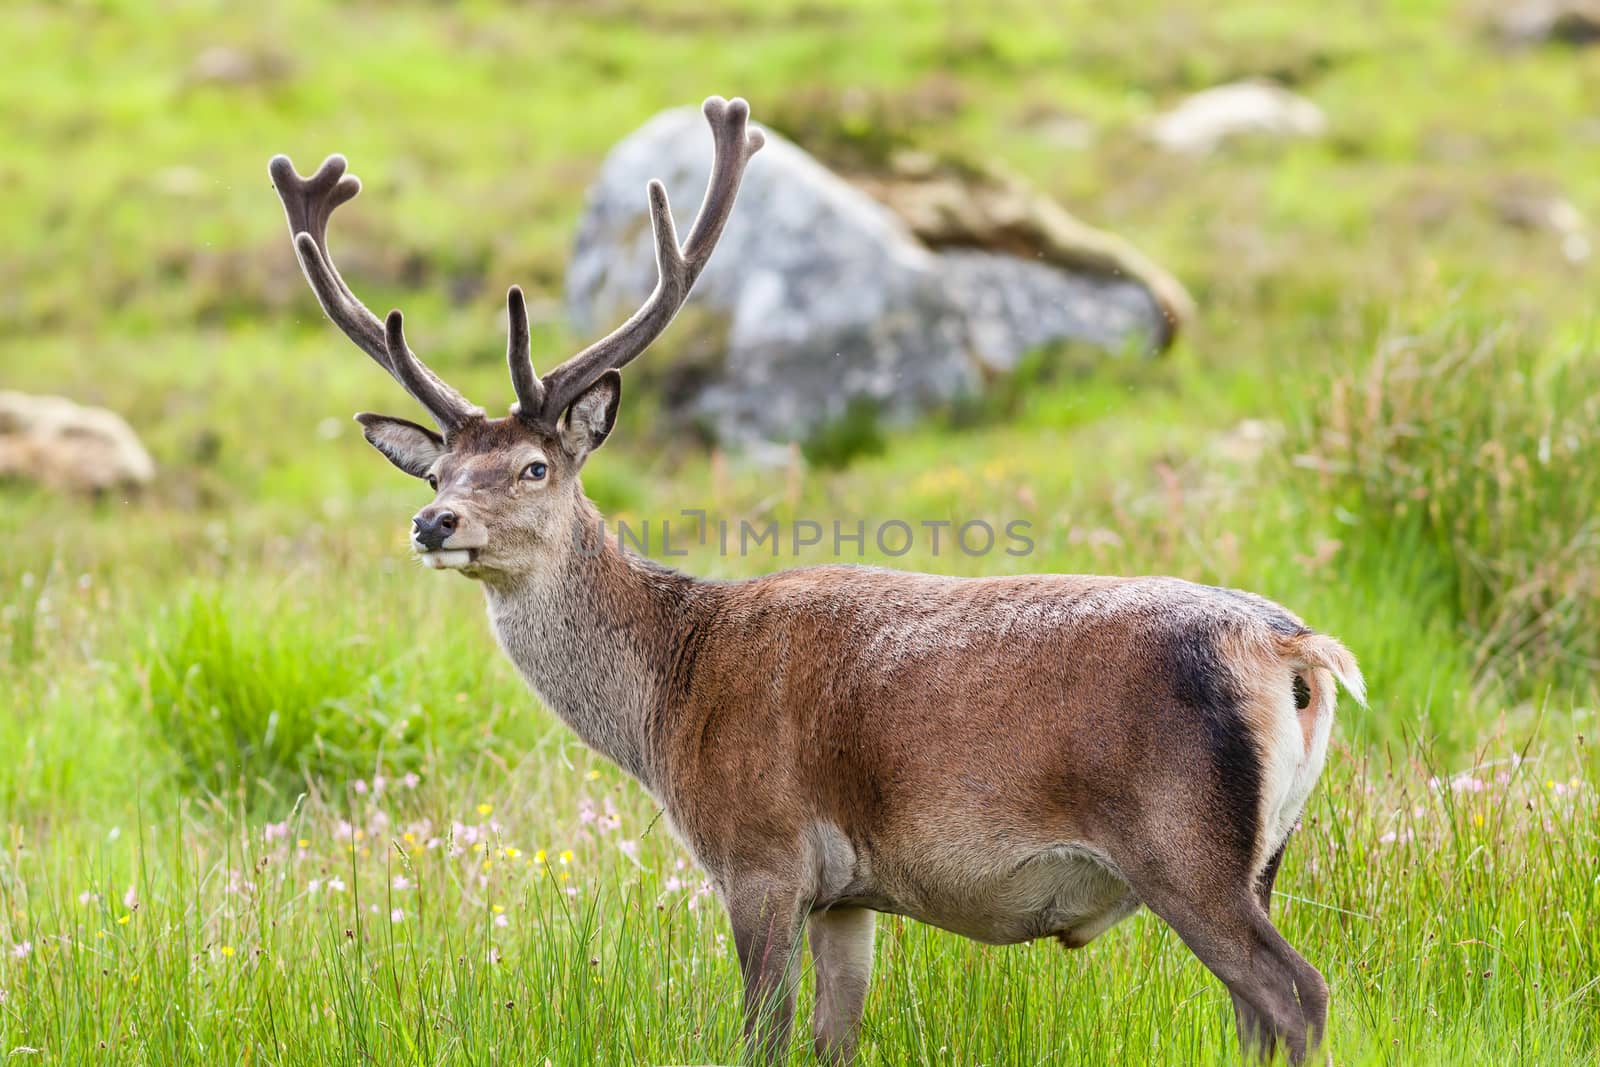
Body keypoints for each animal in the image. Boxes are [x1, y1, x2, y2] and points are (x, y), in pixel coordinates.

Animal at [272, 95, 1363, 1062]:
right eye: (439, 470)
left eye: (534, 466)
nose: (433, 521)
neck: (665, 702)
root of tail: (1295, 647)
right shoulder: (849, 893)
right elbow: (837, 1037)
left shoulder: (760, 853)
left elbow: (763, 1034)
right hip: (1264, 852)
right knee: (1257, 1010)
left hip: (1184, 845)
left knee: (1297, 992)